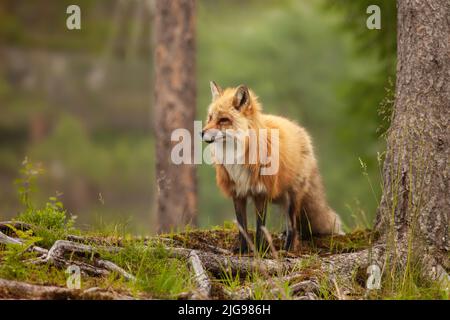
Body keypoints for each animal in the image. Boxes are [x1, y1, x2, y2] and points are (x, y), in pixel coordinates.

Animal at [202, 82, 342, 252]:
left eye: (223, 120)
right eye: (210, 117)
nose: (201, 133)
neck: (237, 157)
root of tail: (299, 129)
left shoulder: (262, 191)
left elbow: (260, 227)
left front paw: (260, 251)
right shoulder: (238, 192)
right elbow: (242, 227)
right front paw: (243, 251)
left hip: (292, 198)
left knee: (293, 227)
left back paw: (287, 251)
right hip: (279, 198)